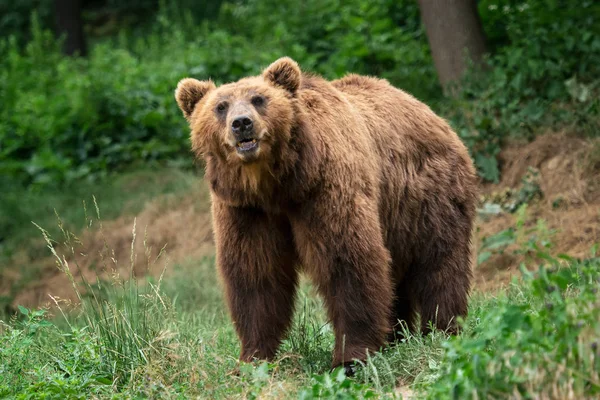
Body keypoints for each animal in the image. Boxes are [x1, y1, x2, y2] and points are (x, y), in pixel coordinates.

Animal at [173, 56, 478, 372]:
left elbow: (346, 261)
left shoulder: (323, 188)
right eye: (221, 106)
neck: (276, 185)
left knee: (439, 263)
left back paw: (442, 329)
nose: (242, 123)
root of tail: (434, 115)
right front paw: (252, 358)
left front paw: (351, 358)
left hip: (428, 195)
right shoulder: (245, 210)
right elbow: (255, 273)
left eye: (259, 99)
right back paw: (396, 336)